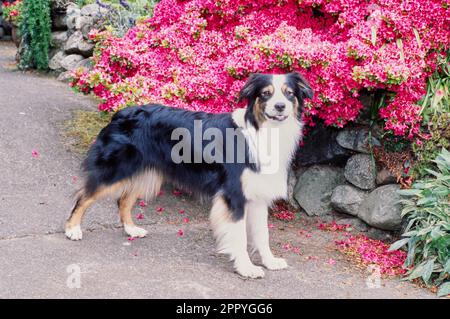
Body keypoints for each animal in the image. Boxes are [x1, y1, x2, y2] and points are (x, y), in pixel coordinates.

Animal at [65, 72, 312, 278]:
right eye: (265, 94)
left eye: (290, 94)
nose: (280, 106)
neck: (264, 131)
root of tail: (121, 112)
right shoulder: (234, 195)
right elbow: (240, 237)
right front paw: (246, 268)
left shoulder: (258, 195)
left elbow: (262, 235)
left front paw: (270, 262)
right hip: (116, 168)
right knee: (84, 196)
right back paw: (72, 229)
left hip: (145, 171)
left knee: (123, 200)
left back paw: (131, 229)